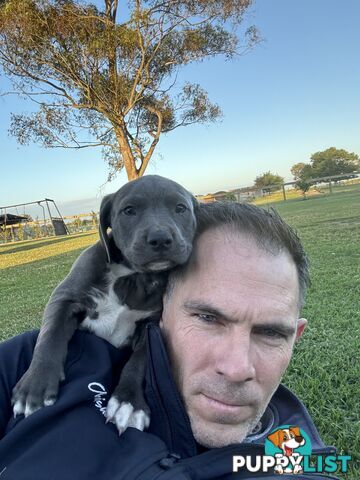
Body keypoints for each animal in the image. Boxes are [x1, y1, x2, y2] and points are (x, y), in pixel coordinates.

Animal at [11, 174, 197, 434]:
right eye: (129, 210)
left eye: (180, 208)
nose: (160, 239)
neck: (132, 276)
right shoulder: (64, 299)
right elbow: (49, 337)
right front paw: (35, 385)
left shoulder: (151, 325)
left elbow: (140, 360)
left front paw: (129, 402)